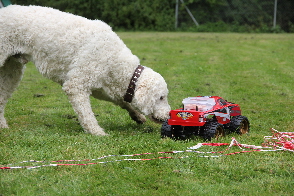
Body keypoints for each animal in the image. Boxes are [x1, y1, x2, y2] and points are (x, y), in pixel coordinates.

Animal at [0, 5, 170, 136]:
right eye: (161, 97)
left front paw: (137, 116)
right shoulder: (76, 85)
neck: (115, 60)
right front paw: (97, 132)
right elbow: (87, 115)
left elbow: (122, 101)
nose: (169, 115)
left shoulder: (103, 89)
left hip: (12, 71)